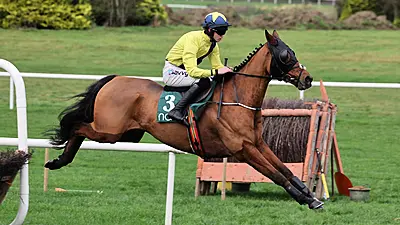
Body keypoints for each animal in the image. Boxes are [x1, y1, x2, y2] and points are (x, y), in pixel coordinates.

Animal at [45, 29, 324, 209]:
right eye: (286, 55)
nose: (307, 78)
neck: (237, 98)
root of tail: (114, 79)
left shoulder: (258, 144)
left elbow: (285, 169)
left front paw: (310, 195)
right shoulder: (243, 149)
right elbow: (275, 174)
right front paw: (306, 199)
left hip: (128, 134)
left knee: (80, 129)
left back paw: (58, 161)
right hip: (109, 131)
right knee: (77, 127)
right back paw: (58, 161)